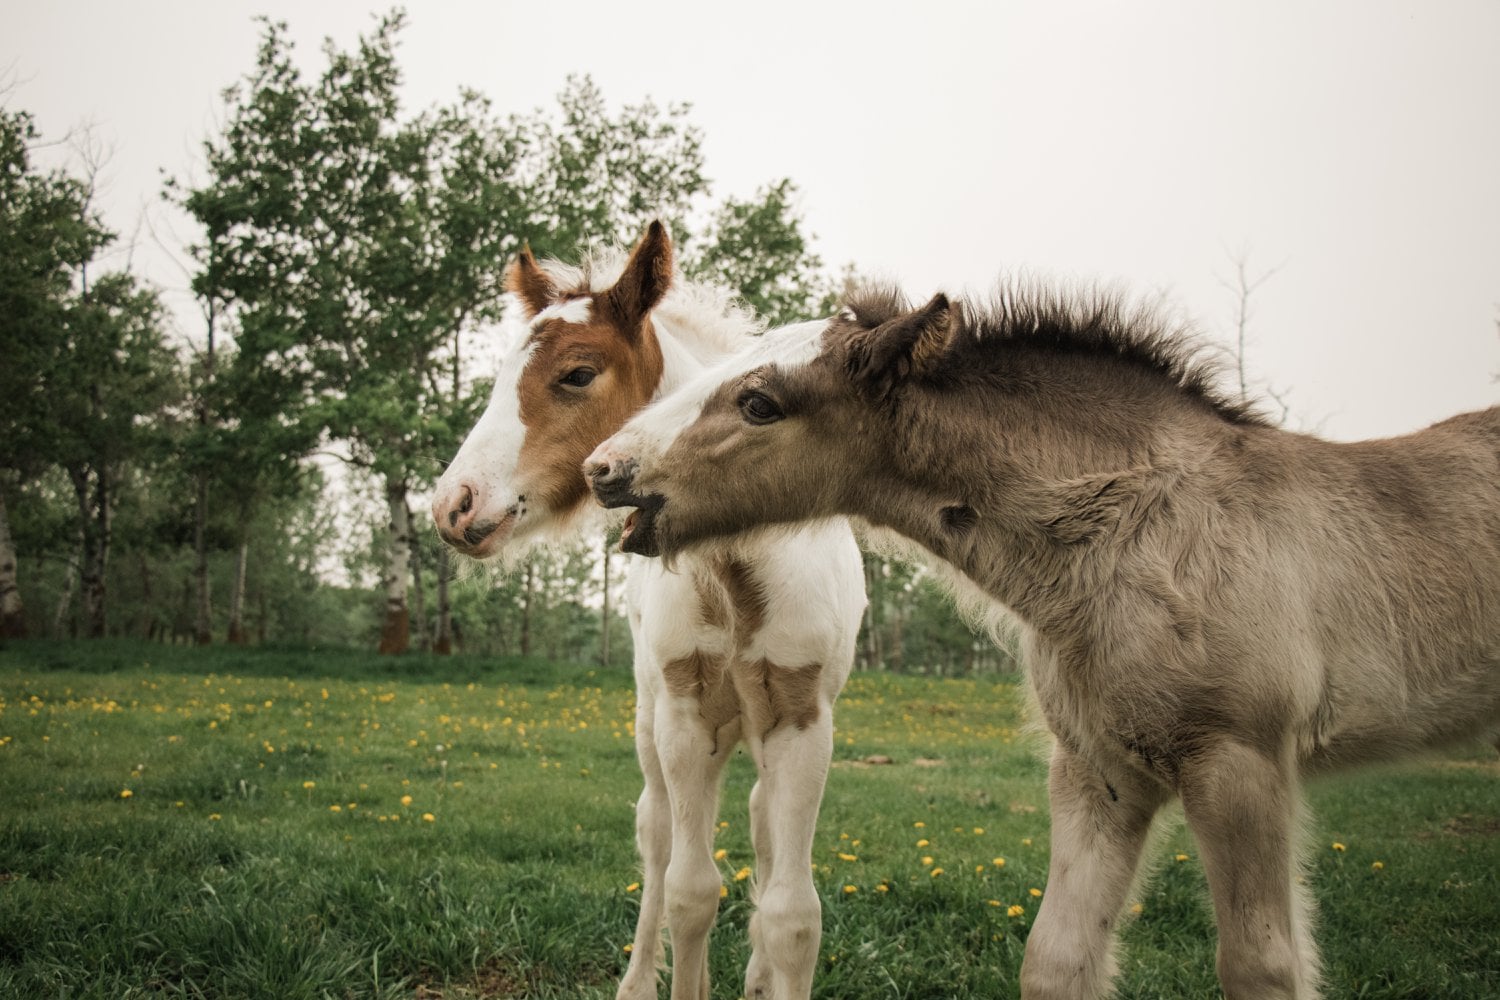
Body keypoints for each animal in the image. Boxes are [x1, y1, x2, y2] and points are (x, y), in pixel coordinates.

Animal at [429, 226, 864, 1000]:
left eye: (577, 374)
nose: (455, 504)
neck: (734, 575)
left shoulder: (801, 719)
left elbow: (792, 913)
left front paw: (766, 964)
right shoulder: (687, 717)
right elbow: (691, 890)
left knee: (758, 824)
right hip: (652, 719)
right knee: (658, 834)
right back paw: (637, 980)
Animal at [588, 275, 1500, 1000]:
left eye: (759, 402)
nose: (604, 467)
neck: (1138, 535)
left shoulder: (1241, 760)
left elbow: (1263, 967)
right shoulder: (1099, 769)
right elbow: (1057, 960)